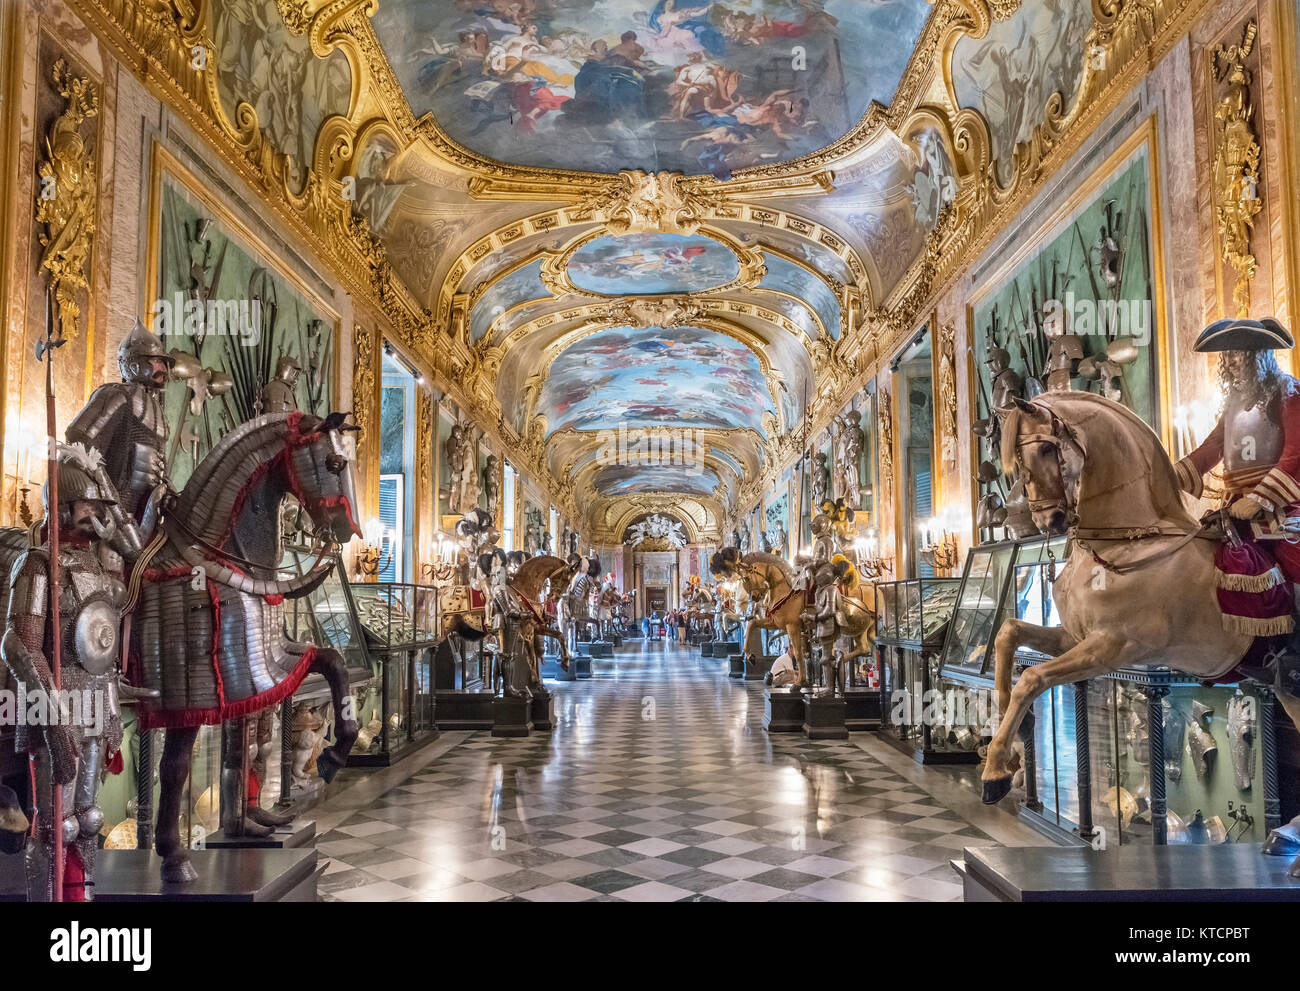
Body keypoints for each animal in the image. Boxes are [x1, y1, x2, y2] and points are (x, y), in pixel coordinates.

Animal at [132, 410, 364, 879]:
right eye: (333, 463)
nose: (347, 531)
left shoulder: (271, 661)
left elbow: (332, 661)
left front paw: (334, 756)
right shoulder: (198, 691)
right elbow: (176, 767)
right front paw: (174, 857)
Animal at [982, 392, 1300, 873]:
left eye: (1047, 450)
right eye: (1015, 462)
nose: (1050, 521)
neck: (1129, 543)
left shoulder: (1113, 647)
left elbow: (1032, 678)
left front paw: (996, 770)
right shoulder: (1076, 638)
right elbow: (1007, 634)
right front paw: (1018, 735)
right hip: (1282, 681)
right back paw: (1285, 842)